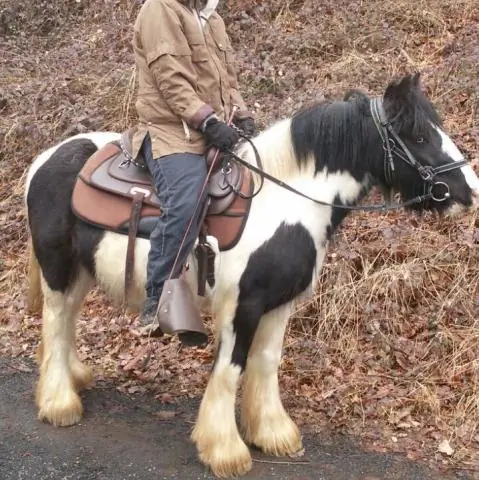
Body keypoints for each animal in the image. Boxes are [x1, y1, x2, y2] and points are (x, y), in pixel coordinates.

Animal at [24, 73, 478, 478]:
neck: (283, 202)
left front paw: (273, 433)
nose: (469, 191)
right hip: (57, 269)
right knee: (56, 321)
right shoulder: (240, 307)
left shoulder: (279, 305)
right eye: (418, 137)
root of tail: (44, 159)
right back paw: (60, 402)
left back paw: (73, 378)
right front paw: (225, 450)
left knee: (66, 323)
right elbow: (231, 368)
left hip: (80, 271)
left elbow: (265, 361)